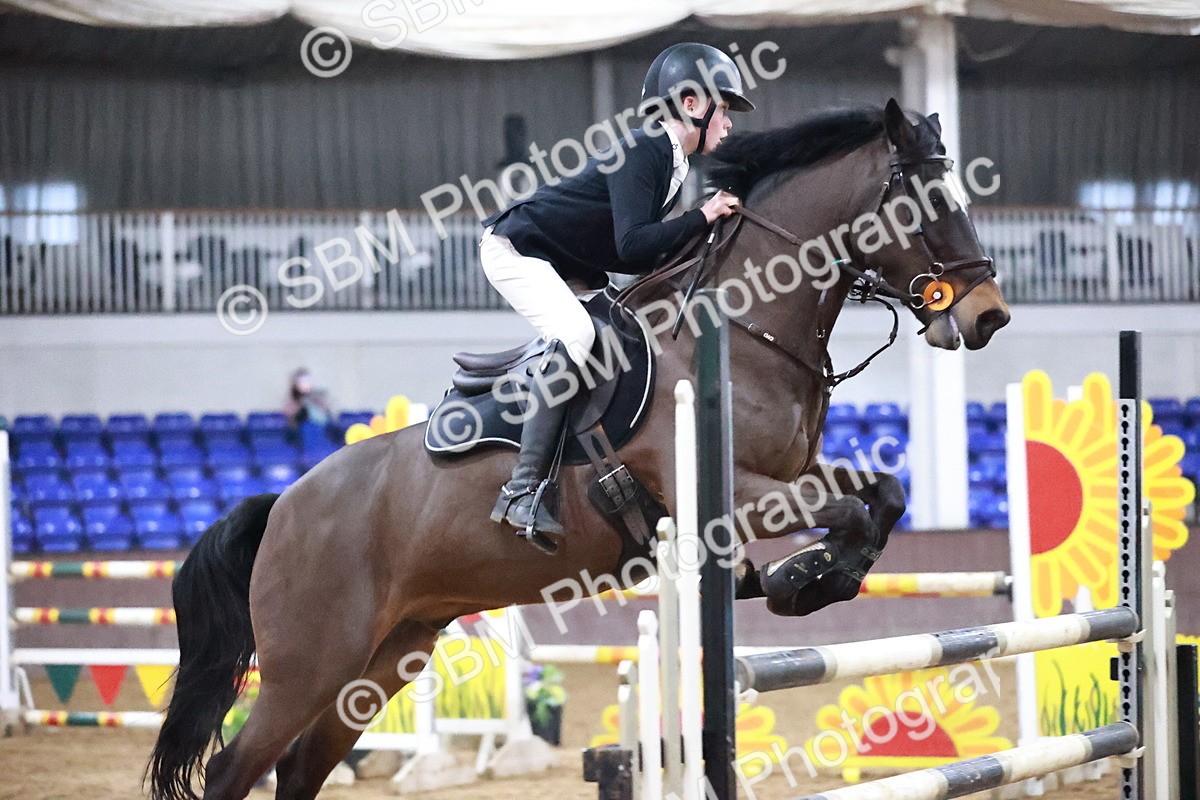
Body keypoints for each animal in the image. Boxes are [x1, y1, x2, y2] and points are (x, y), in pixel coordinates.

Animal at [148, 98, 1010, 800]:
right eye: (927, 203)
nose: (989, 317)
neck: (745, 324)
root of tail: (283, 503)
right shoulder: (731, 491)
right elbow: (848, 515)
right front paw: (796, 579)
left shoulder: (785, 473)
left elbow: (883, 496)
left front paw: (817, 578)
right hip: (311, 661)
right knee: (232, 770)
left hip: (387, 656)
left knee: (298, 770)